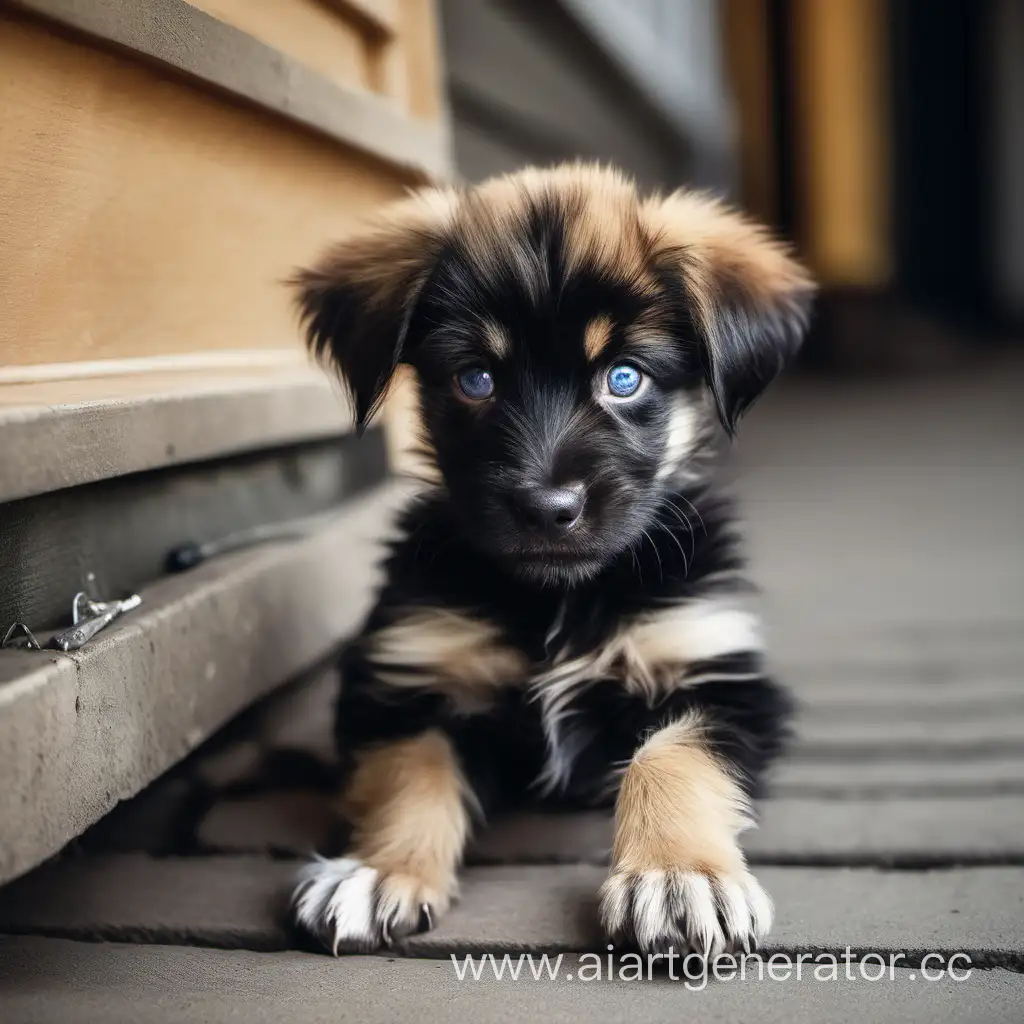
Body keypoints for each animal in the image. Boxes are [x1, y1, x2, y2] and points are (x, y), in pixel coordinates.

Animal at [290, 165, 815, 958]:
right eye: (475, 378)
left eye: (624, 378)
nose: (547, 508)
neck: (558, 598)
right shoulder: (403, 682)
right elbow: (411, 771)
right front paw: (381, 870)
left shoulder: (719, 674)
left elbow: (673, 755)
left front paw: (677, 876)